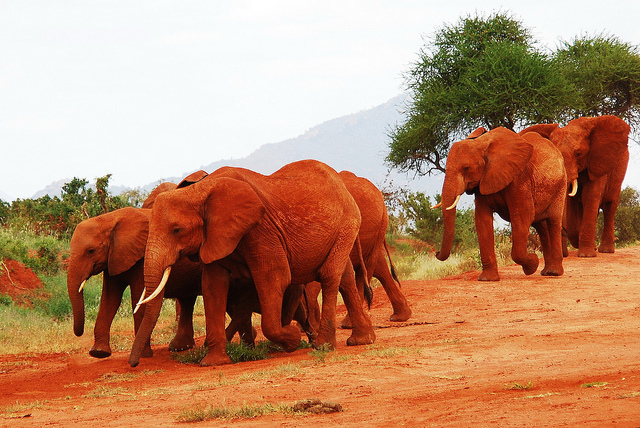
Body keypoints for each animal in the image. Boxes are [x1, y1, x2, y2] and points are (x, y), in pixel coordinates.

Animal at [64, 204, 200, 358]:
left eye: (91, 251)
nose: (79, 333)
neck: (109, 219)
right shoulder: (113, 257)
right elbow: (110, 299)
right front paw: (99, 353)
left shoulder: (141, 257)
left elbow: (138, 299)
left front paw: (143, 355)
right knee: (187, 301)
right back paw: (180, 348)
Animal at [131, 159, 378, 366]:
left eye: (177, 230)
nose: (134, 363)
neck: (200, 190)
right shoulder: (215, 236)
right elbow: (213, 287)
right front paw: (214, 362)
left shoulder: (261, 230)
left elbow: (275, 278)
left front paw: (291, 338)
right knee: (345, 277)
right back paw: (362, 340)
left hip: (347, 223)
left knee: (329, 276)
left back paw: (323, 345)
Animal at [436, 127, 564, 280]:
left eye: (466, 168)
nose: (436, 253)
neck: (482, 143)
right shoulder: (483, 182)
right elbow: (482, 220)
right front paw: (487, 279)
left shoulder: (519, 179)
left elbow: (522, 215)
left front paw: (532, 264)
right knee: (541, 226)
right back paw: (546, 272)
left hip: (560, 184)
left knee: (553, 221)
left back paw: (554, 273)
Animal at [520, 113, 632, 260]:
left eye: (578, 154)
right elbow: (573, 202)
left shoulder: (597, 162)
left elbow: (590, 196)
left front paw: (586, 255)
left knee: (609, 206)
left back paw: (605, 250)